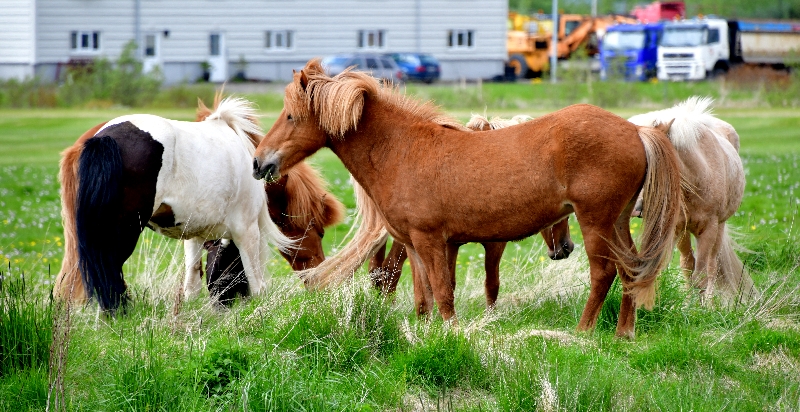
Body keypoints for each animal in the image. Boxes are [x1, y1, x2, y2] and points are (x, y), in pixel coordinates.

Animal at [368, 112, 576, 306]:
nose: (567, 247)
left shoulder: (451, 244)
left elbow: (450, 283)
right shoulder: (494, 244)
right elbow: (491, 284)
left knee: (379, 270)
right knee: (389, 269)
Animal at [628, 96, 752, 302]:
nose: (635, 208)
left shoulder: (709, 229)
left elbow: (702, 274)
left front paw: (702, 307)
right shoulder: (673, 229)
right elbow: (679, 269)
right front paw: (684, 305)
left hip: (719, 227)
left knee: (712, 265)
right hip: (684, 231)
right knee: (689, 264)